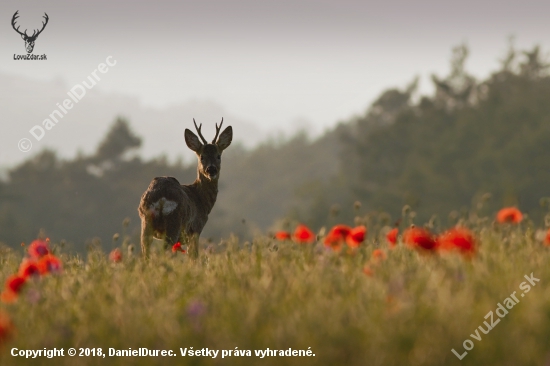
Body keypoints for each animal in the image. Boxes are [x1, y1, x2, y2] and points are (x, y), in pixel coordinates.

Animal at [139, 118, 234, 258]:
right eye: (202, 156)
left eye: (218, 156)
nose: (211, 169)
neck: (201, 200)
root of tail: (161, 199)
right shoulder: (195, 229)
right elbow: (193, 257)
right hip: (174, 223)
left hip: (146, 223)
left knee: (145, 254)